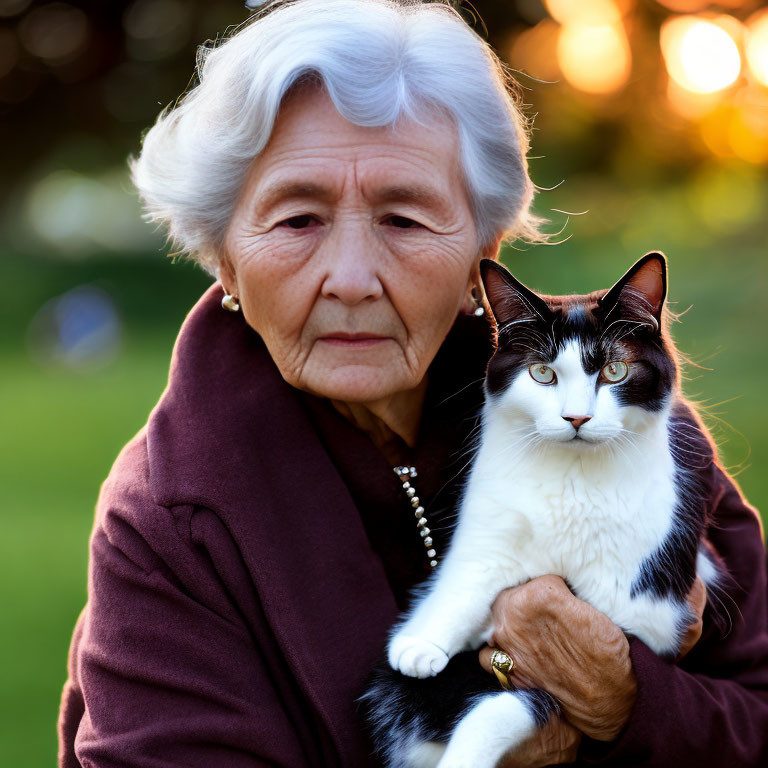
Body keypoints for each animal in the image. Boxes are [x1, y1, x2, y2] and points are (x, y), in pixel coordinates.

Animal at [360, 254, 720, 768]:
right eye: (542, 374)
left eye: (615, 370)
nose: (576, 418)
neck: (571, 474)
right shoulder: (489, 526)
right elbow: (466, 578)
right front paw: (421, 641)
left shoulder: (634, 614)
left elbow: (511, 705)